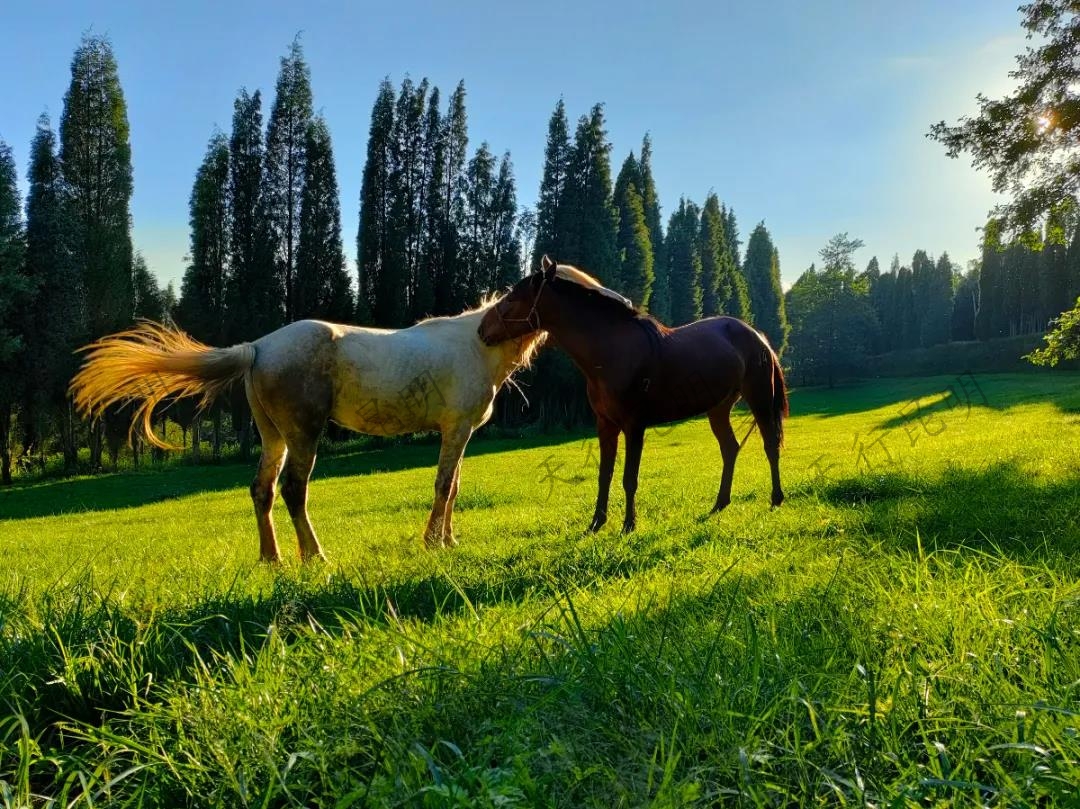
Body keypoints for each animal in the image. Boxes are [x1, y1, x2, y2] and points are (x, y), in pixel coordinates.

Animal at [70, 302, 544, 561]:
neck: (476, 342)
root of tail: (258, 347)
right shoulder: (456, 429)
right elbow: (445, 487)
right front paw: (435, 543)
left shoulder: (457, 433)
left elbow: (454, 487)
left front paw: (449, 540)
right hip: (302, 436)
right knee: (294, 490)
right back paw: (314, 556)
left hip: (274, 438)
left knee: (262, 490)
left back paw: (272, 559)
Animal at [479, 259, 786, 533]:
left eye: (512, 298)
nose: (482, 329)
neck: (612, 351)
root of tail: (757, 336)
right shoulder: (605, 425)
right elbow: (604, 475)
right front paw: (596, 523)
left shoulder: (634, 426)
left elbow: (629, 478)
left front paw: (628, 525)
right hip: (718, 408)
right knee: (730, 448)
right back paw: (720, 504)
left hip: (759, 398)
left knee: (770, 445)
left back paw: (776, 499)